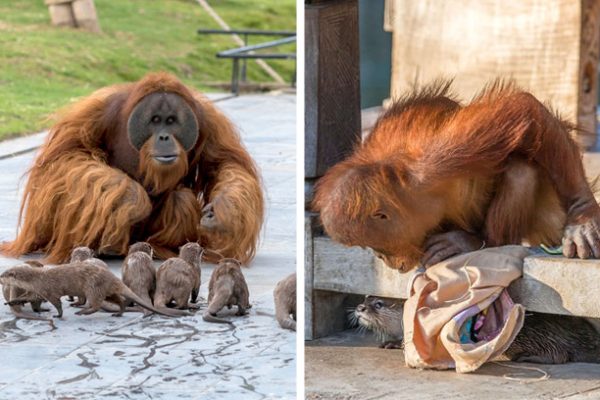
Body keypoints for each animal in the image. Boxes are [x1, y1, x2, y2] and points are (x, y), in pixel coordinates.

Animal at [0, 262, 183, 318]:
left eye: (5, 274)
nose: (0, 276)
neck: (37, 279)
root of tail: (112, 277)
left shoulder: (48, 290)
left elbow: (57, 303)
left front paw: (58, 315)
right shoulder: (36, 291)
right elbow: (25, 297)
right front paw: (11, 301)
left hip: (93, 287)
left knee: (95, 304)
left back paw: (82, 312)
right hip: (106, 291)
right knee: (118, 300)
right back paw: (118, 313)